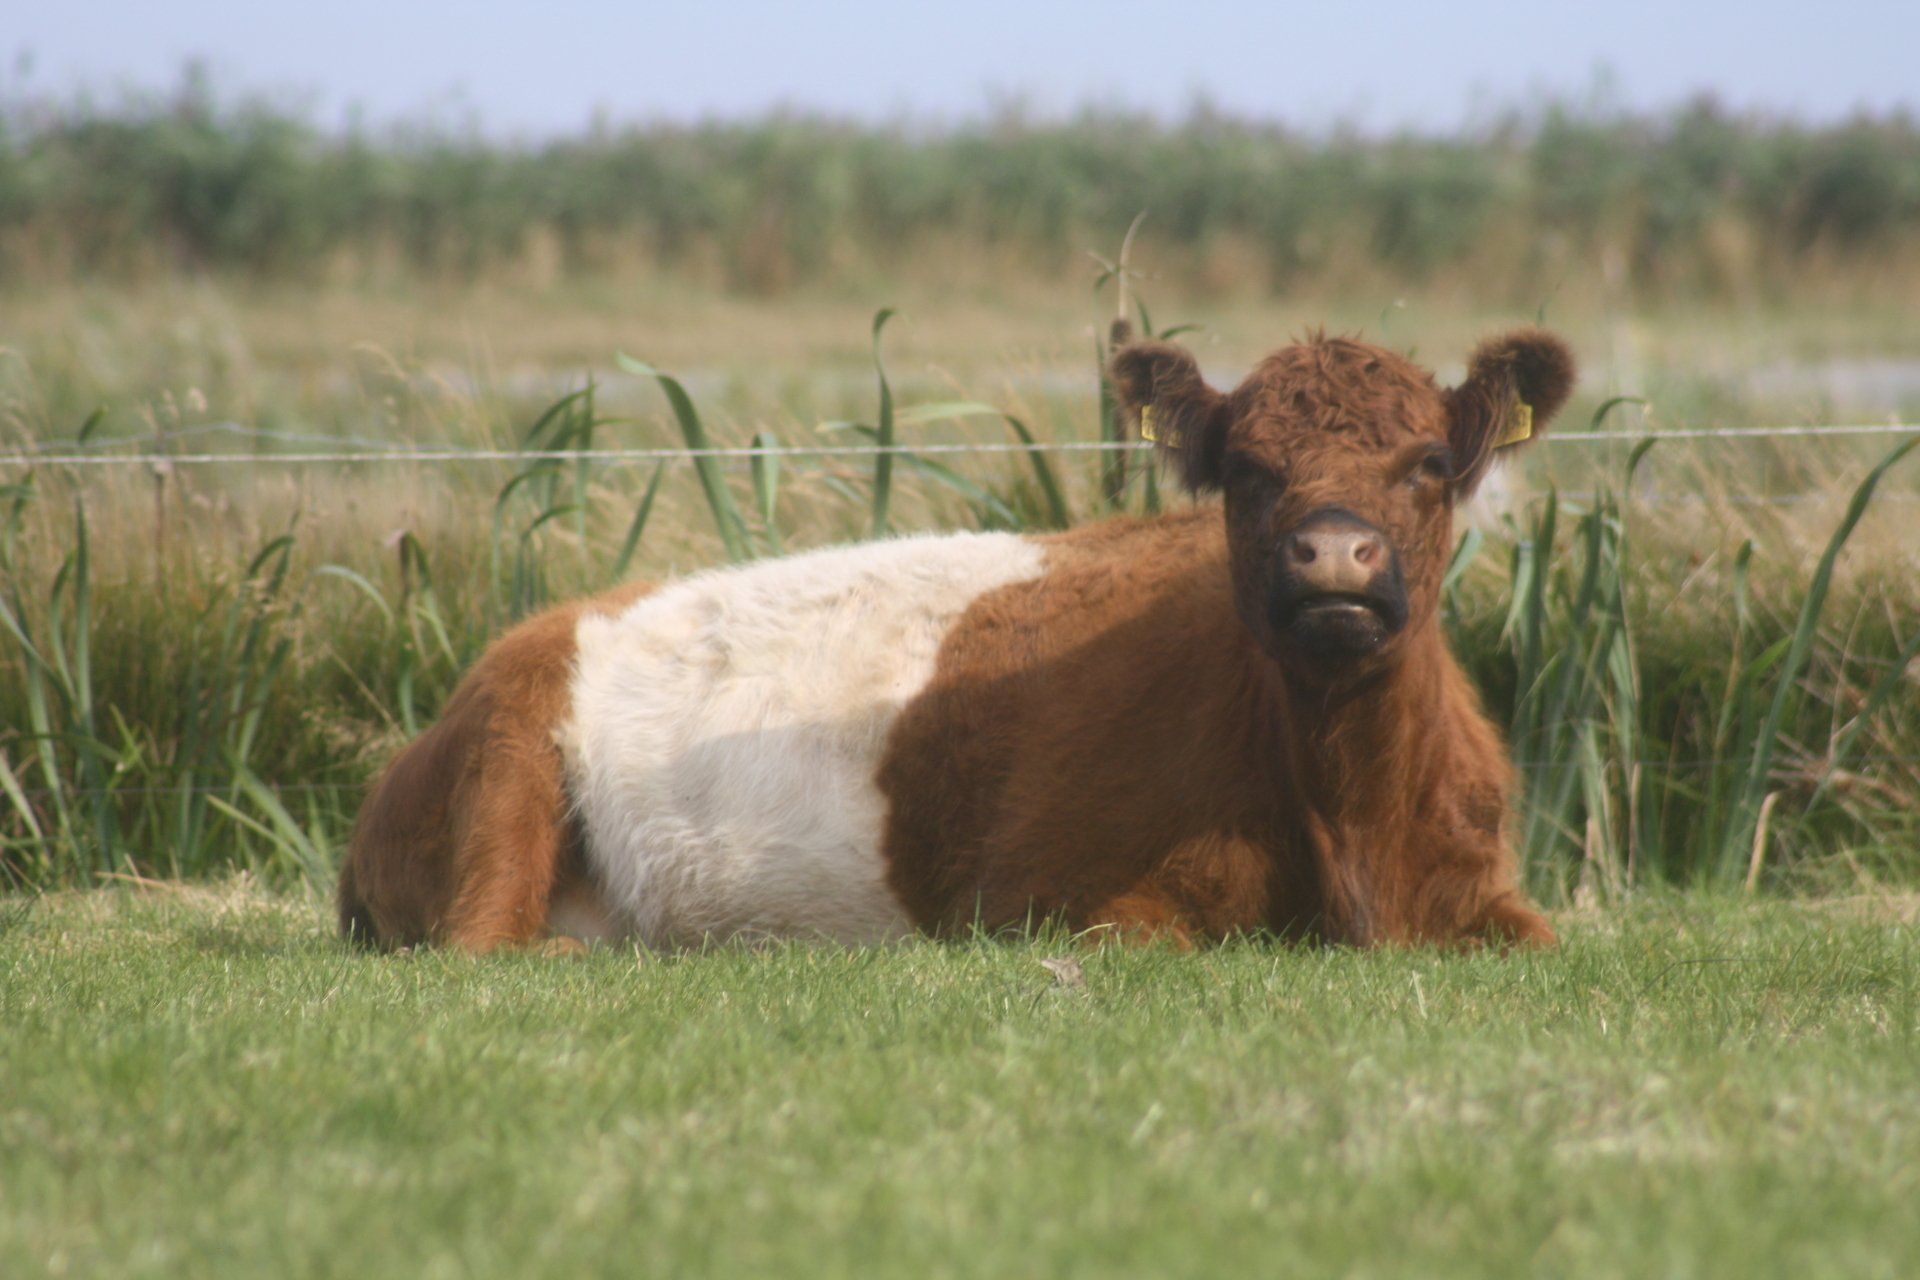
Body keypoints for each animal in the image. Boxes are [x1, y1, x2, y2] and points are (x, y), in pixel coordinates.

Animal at [338, 327, 1574, 953]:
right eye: (1247, 470)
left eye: (1428, 461)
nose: (1332, 557)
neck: (1355, 820)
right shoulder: (1074, 906)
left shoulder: (1490, 896)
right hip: (509, 762)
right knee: (484, 940)